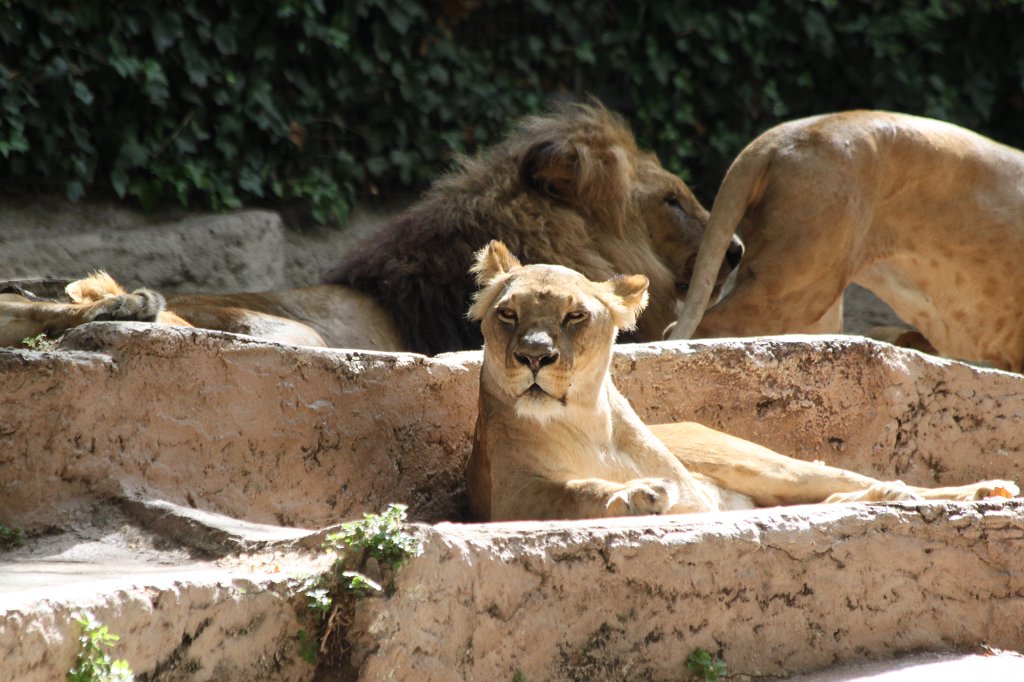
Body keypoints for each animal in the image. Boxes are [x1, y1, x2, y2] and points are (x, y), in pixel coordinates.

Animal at [466, 241, 1017, 521]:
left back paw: (983, 489)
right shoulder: (508, 500)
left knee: (850, 482)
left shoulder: (697, 494)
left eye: (575, 315)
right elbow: (574, 491)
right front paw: (634, 494)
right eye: (508, 314)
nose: (534, 356)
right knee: (840, 497)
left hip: (761, 465)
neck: (587, 423)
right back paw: (893, 495)